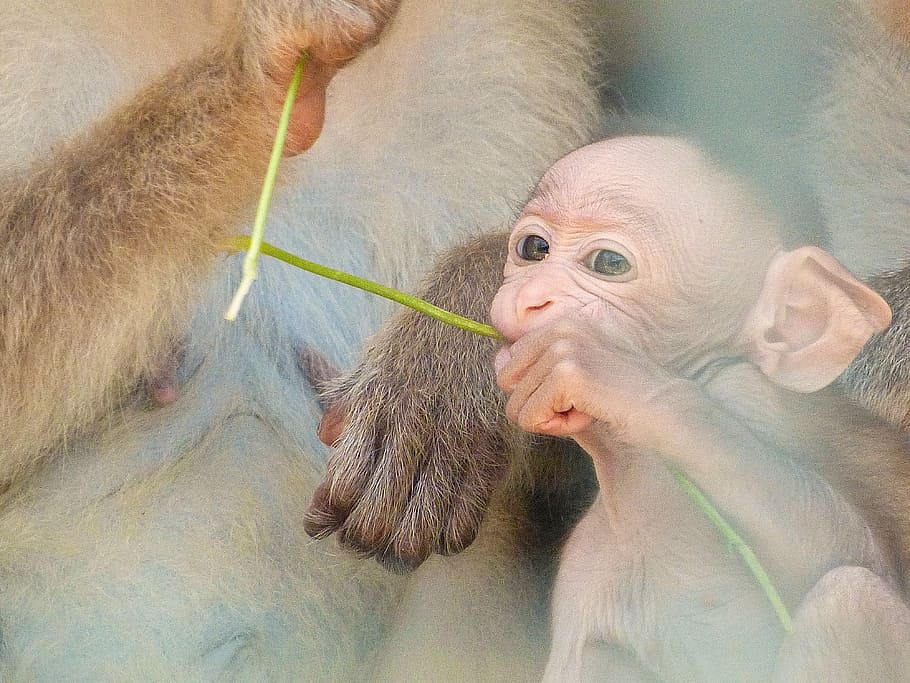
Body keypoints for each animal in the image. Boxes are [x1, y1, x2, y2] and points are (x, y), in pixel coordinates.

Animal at [490, 134, 910, 681]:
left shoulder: (747, 393)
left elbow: (853, 550)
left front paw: (609, 374)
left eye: (608, 264)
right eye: (532, 250)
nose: (528, 298)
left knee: (851, 599)